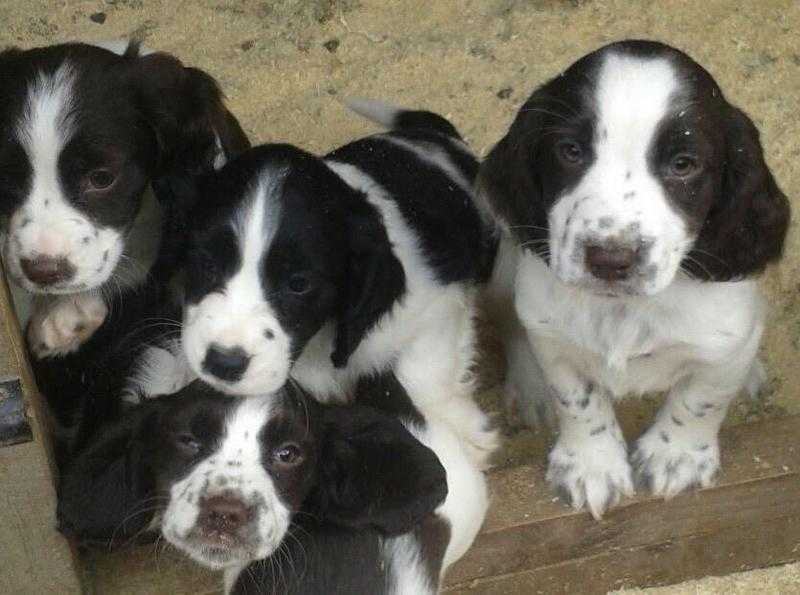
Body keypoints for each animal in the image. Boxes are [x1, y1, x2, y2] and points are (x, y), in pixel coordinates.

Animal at [180, 103, 496, 470]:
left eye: (299, 284)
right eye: (207, 263)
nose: (223, 364)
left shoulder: (436, 309)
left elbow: (425, 376)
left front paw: (459, 435)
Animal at [478, 39, 792, 520]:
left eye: (683, 164)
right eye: (570, 151)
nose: (609, 259)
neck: (625, 307)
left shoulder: (726, 342)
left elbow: (701, 397)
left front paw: (676, 456)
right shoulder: (554, 339)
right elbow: (577, 399)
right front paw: (591, 465)